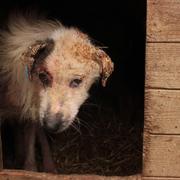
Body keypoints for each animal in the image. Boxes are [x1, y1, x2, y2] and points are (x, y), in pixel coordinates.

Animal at [0, 13, 113, 172]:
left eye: (77, 81)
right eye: (43, 76)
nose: (52, 125)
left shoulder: (32, 107)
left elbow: (31, 132)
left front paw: (36, 168)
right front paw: (30, 168)